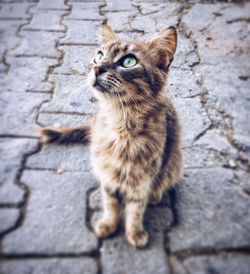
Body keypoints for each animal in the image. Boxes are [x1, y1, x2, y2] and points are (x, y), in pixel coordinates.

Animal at [40, 25, 183, 248]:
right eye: (99, 56)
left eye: (129, 61)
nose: (97, 68)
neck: (120, 127)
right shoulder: (107, 177)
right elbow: (111, 205)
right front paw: (108, 225)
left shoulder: (141, 183)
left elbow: (135, 211)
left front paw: (135, 233)